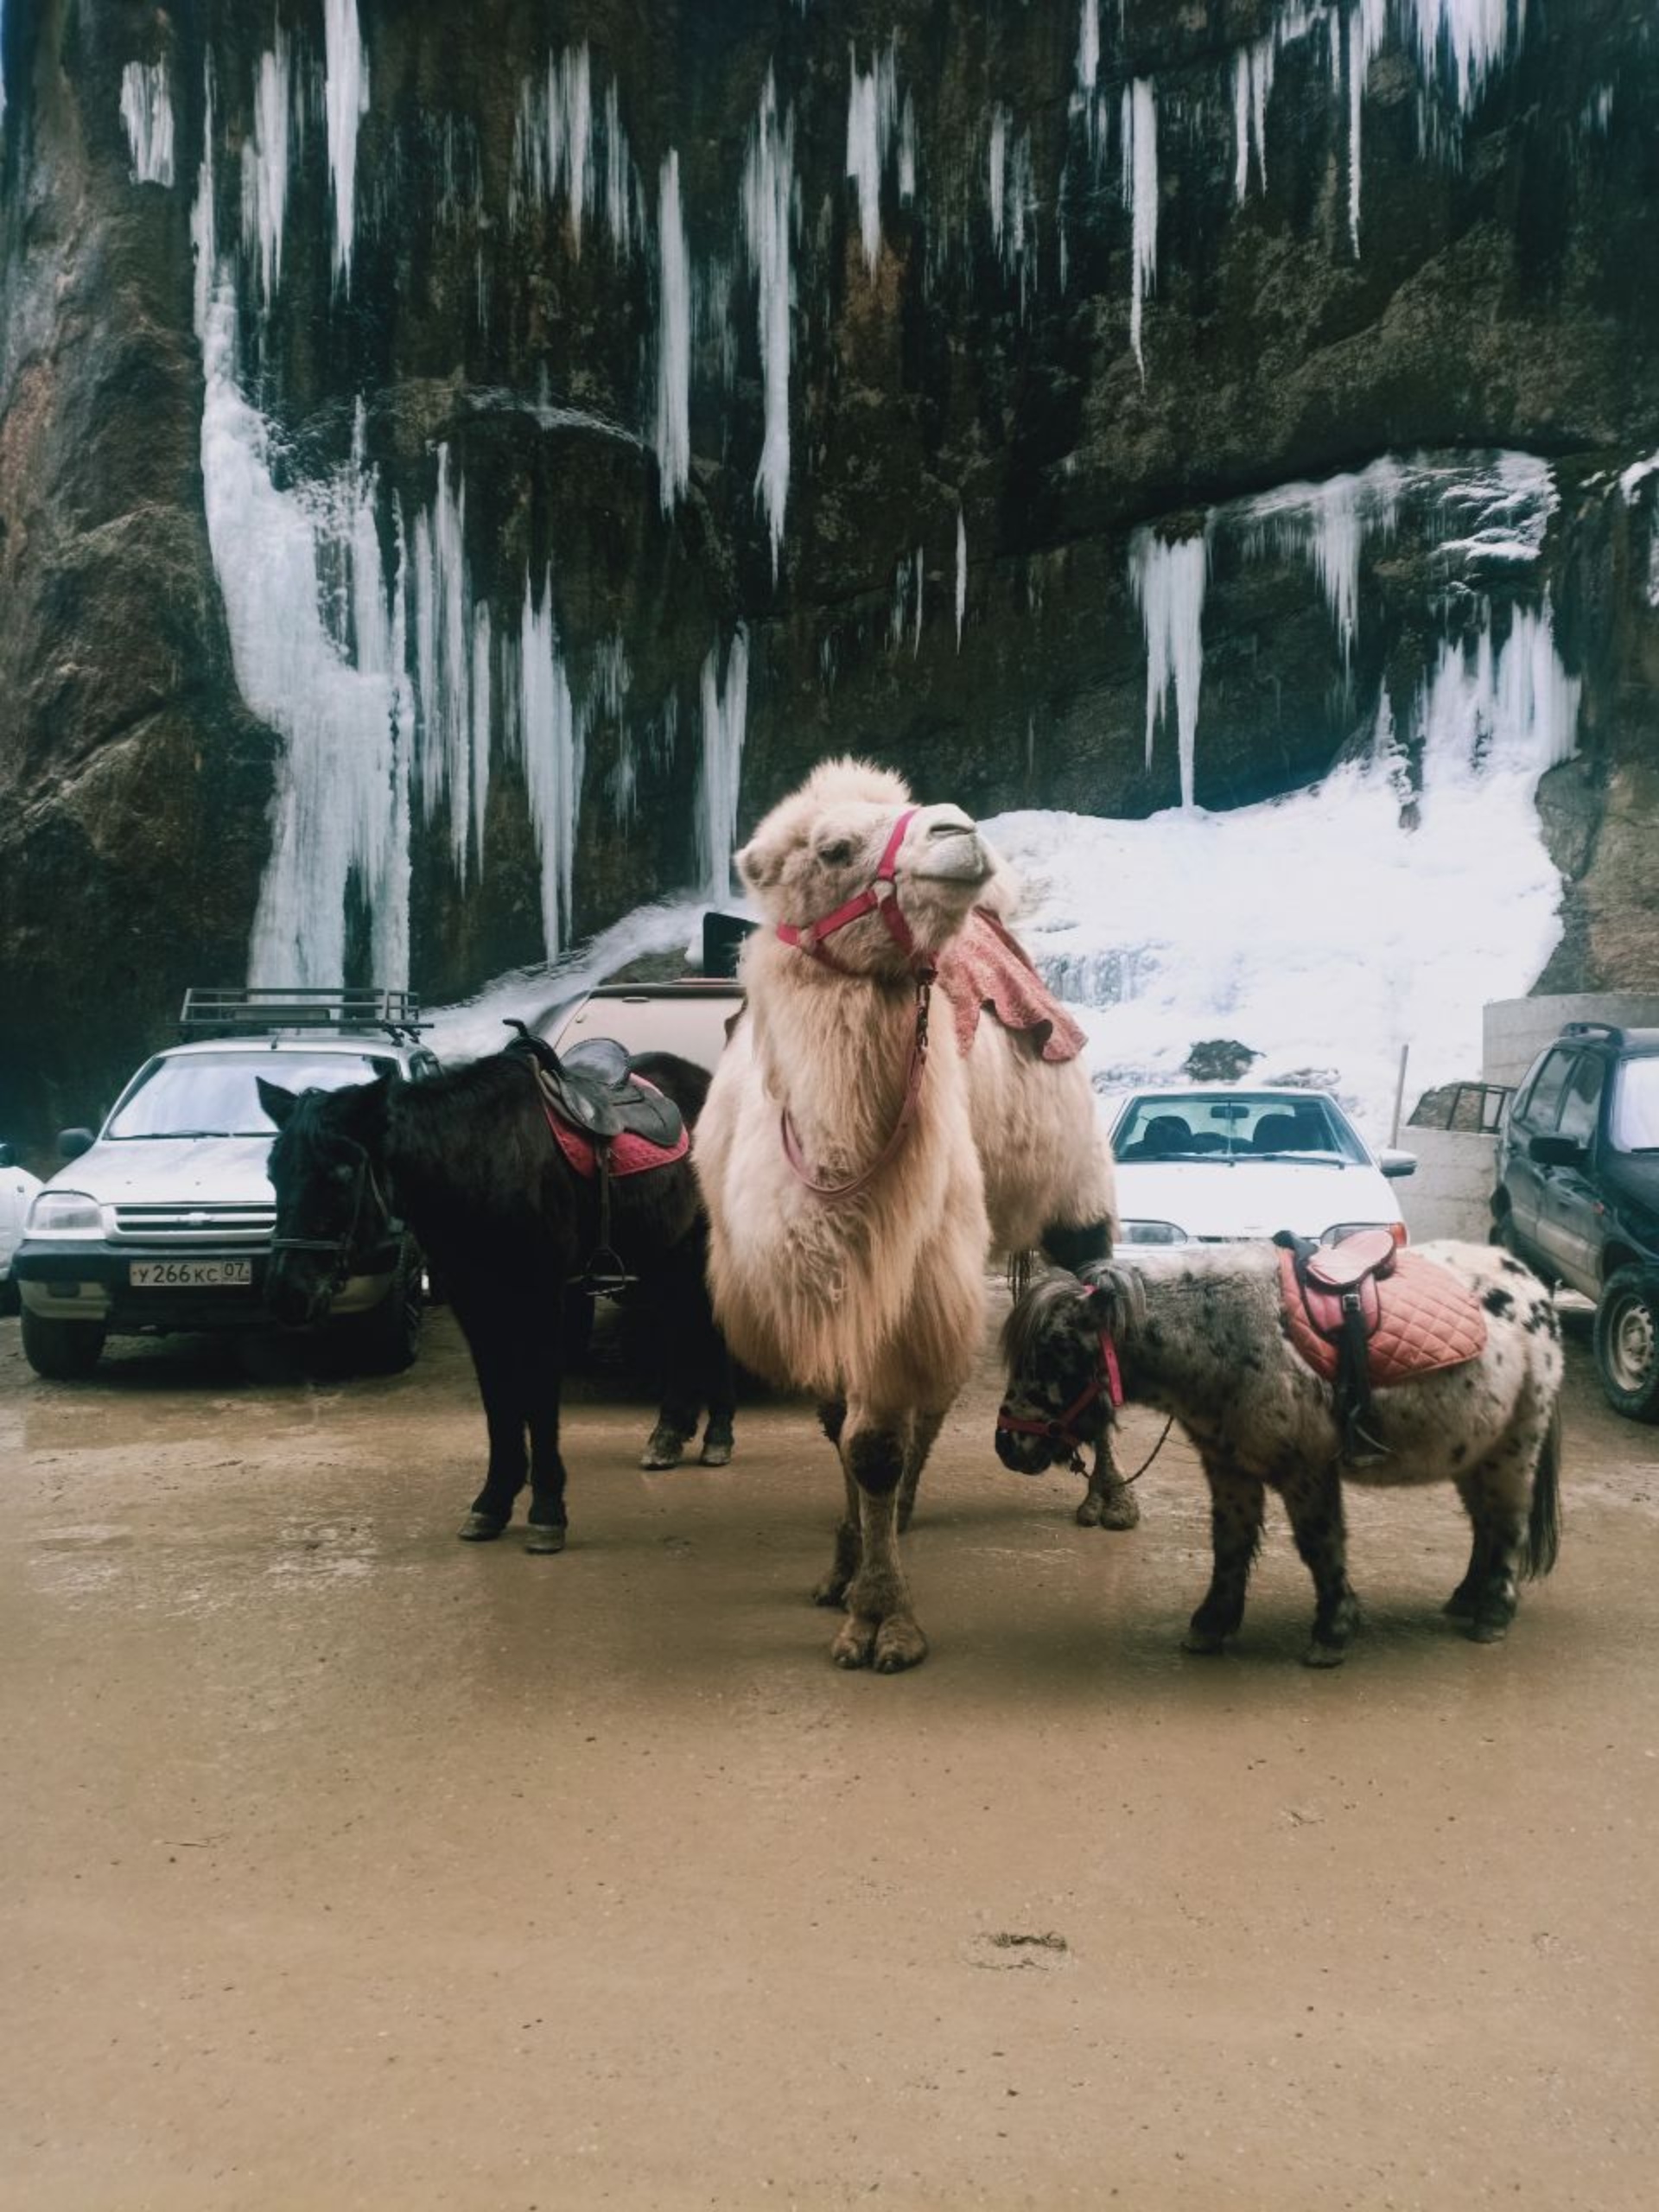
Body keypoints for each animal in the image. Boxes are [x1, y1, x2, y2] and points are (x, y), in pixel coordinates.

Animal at [259, 1044, 734, 1548]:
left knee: (711, 1330)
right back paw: (670, 1433)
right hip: (665, 1255)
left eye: (341, 1174)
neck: (480, 1160)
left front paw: (547, 1509)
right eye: (273, 1172)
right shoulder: (475, 1300)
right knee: (684, 1329)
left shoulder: (542, 1296)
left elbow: (539, 1399)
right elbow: (499, 1401)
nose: (287, 1293)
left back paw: (718, 1436)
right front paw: (493, 1502)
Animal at [690, 752, 1132, 1663]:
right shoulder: (828, 1283)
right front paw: (846, 1563)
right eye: (833, 849)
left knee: (1091, 1303)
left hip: (1074, 1191)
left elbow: (875, 1444)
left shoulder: (907, 1265)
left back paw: (1108, 1498)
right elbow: (843, 1431)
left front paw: (881, 1617)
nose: (960, 829)